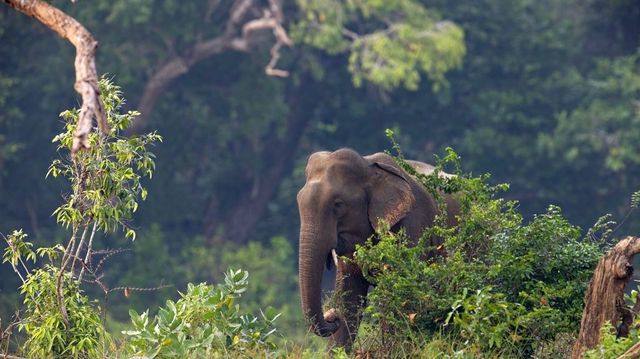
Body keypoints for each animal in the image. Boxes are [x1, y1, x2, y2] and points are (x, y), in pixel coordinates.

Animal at [298, 147, 458, 352]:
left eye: (338, 204)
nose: (331, 315)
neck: (369, 166)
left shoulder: (413, 226)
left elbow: (400, 293)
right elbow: (349, 296)